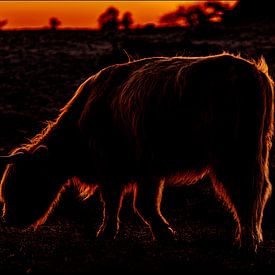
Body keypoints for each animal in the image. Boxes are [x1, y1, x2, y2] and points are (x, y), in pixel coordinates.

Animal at [0, 52, 274, 253]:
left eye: (22, 181)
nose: (9, 218)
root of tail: (251, 71)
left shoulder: (115, 169)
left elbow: (120, 203)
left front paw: (110, 233)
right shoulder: (148, 170)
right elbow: (142, 204)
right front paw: (160, 233)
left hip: (234, 155)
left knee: (245, 191)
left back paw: (246, 242)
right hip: (257, 150)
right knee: (260, 189)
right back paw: (254, 237)